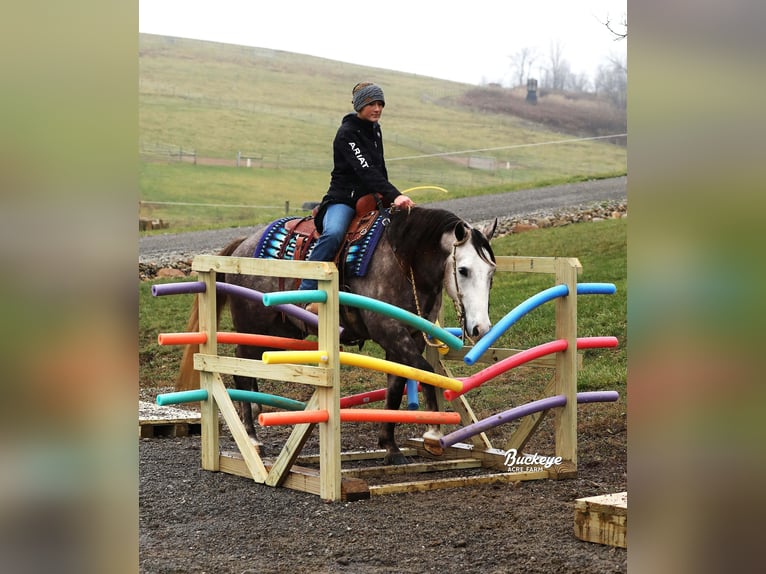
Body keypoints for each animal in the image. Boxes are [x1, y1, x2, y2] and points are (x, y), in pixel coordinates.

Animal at [179, 205, 498, 466]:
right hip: (252, 326)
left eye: (491, 273)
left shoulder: (409, 338)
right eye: (463, 270)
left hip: (277, 331)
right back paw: (252, 438)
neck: (403, 260)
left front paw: (391, 446)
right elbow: (426, 371)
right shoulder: (389, 331)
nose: (481, 328)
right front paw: (432, 432)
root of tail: (242, 246)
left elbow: (398, 384)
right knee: (240, 369)